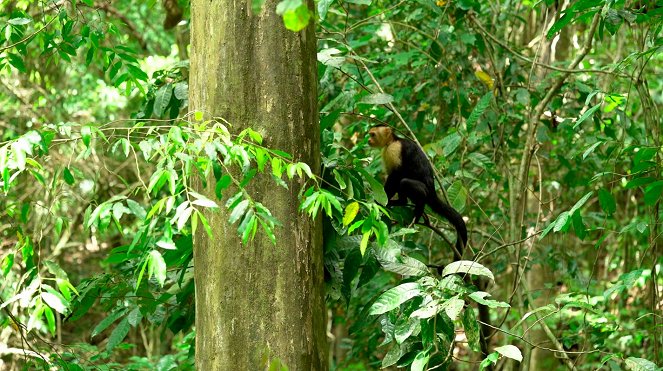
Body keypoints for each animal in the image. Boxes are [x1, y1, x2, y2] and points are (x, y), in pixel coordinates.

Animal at [368, 125, 466, 262]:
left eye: (373, 135)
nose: (368, 140)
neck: (392, 141)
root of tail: (432, 192)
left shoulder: (394, 149)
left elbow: (396, 175)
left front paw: (380, 203)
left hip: (425, 191)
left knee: (404, 182)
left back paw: (417, 212)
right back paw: (401, 202)